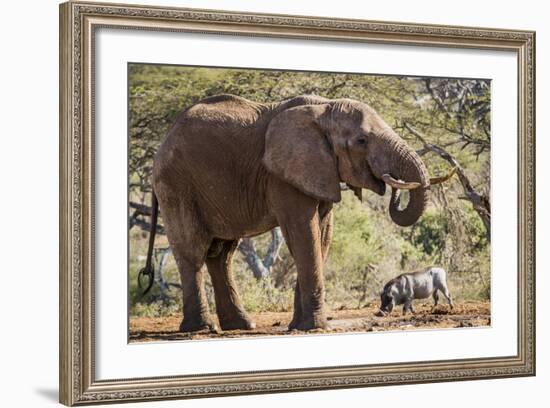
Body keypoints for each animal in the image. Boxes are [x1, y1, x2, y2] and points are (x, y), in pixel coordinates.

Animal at [139, 94, 458, 334]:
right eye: (361, 141)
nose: (391, 184)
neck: (324, 108)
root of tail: (162, 143)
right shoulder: (282, 175)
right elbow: (303, 232)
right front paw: (315, 327)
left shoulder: (320, 170)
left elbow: (322, 235)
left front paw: (299, 326)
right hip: (177, 184)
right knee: (193, 251)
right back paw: (202, 329)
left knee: (222, 254)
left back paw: (241, 326)